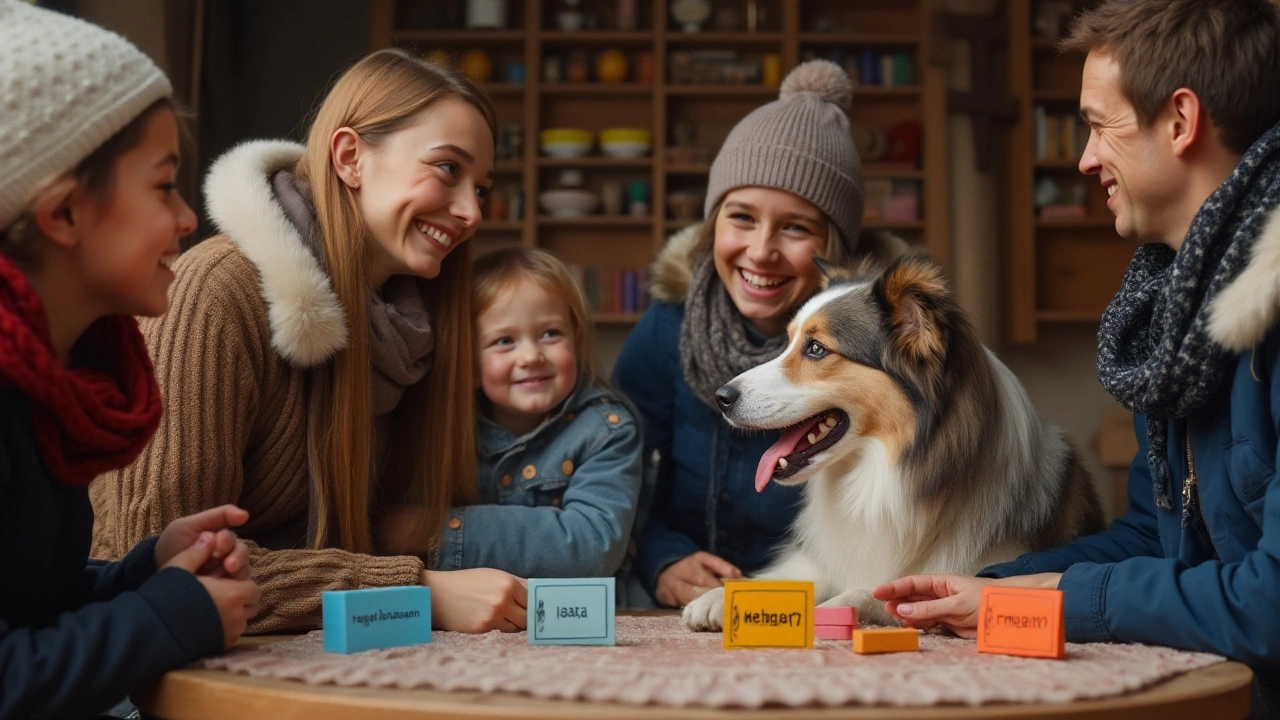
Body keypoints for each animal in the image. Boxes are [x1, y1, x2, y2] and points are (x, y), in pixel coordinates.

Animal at [686, 252, 1105, 627]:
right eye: (787, 342)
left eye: (816, 348)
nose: (722, 397)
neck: (883, 470)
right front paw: (719, 595)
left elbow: (879, 590)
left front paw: (833, 609)